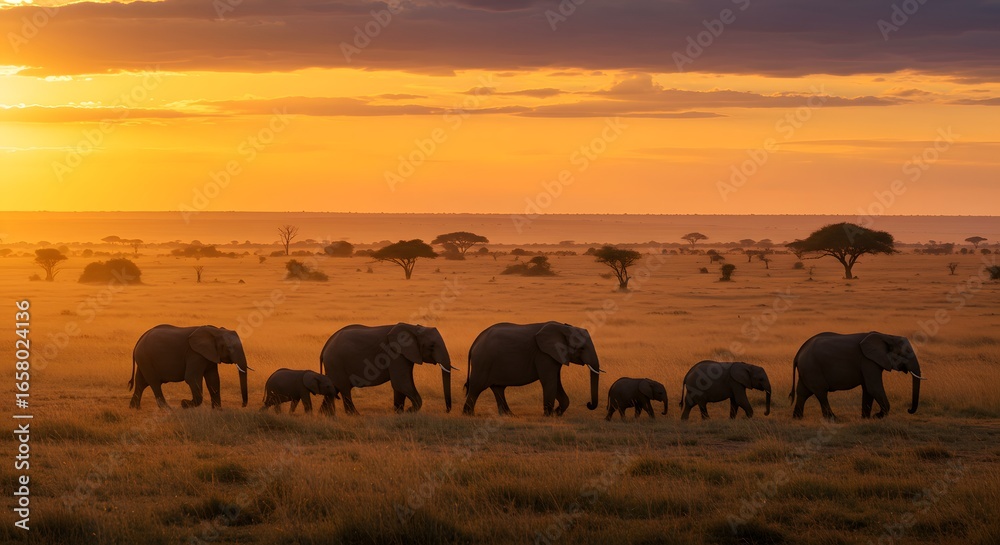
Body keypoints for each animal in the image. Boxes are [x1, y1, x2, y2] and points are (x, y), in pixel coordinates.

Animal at [318, 323, 454, 415]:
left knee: (333, 389)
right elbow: (401, 383)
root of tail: (325, 346)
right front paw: (409, 411)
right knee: (345, 389)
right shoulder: (395, 353)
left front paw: (400, 413)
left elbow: (401, 386)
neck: (413, 328)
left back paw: (324, 415)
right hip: (335, 362)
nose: (446, 411)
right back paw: (355, 416)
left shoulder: (404, 355)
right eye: (432, 346)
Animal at [462, 322, 602, 416]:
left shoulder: (554, 355)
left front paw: (556, 414)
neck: (564, 328)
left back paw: (509, 415)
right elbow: (549, 381)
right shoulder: (544, 354)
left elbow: (556, 382)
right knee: (476, 387)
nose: (589, 404)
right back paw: (469, 414)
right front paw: (548, 416)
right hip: (482, 362)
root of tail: (474, 342)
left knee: (498, 388)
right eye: (581, 348)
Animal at [790, 331, 923, 420]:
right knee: (821, 393)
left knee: (803, 392)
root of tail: (798, 354)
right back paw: (833, 419)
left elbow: (868, 389)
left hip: (807, 370)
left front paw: (866, 418)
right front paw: (877, 416)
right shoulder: (868, 361)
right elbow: (873, 387)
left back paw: (797, 418)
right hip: (812, 368)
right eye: (905, 353)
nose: (909, 410)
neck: (887, 336)